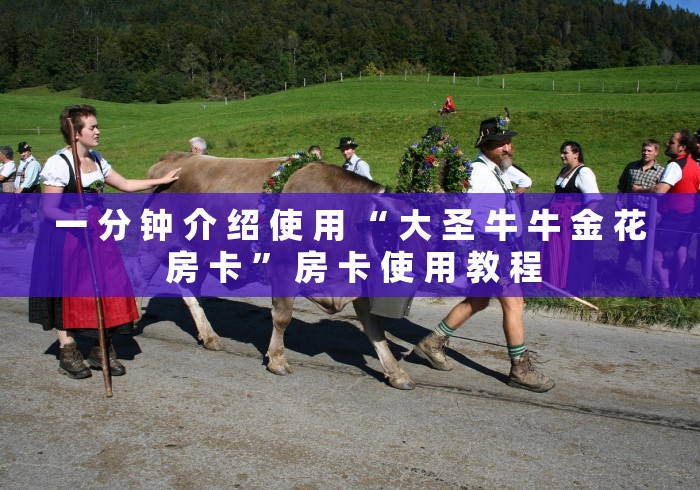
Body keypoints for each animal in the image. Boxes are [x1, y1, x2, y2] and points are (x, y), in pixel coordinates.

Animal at [136, 152, 415, 390]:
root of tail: (174, 157)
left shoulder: (357, 282)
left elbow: (375, 329)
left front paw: (397, 373)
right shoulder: (285, 269)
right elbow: (282, 317)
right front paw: (277, 359)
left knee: (189, 290)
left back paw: (210, 336)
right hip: (155, 243)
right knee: (141, 278)